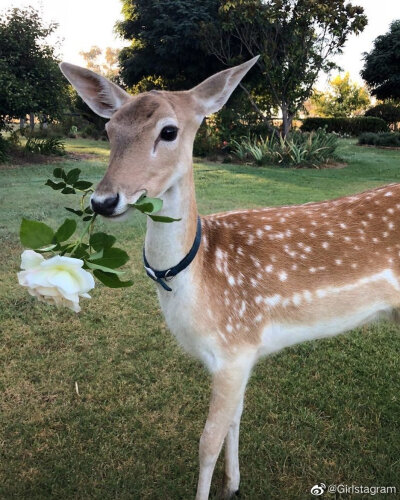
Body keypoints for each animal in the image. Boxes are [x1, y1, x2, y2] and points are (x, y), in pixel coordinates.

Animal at [59, 56, 400, 498]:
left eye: (168, 131)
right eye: (109, 130)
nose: (103, 200)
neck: (199, 279)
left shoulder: (235, 345)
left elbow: (207, 441)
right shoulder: (241, 354)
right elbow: (235, 420)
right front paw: (233, 483)